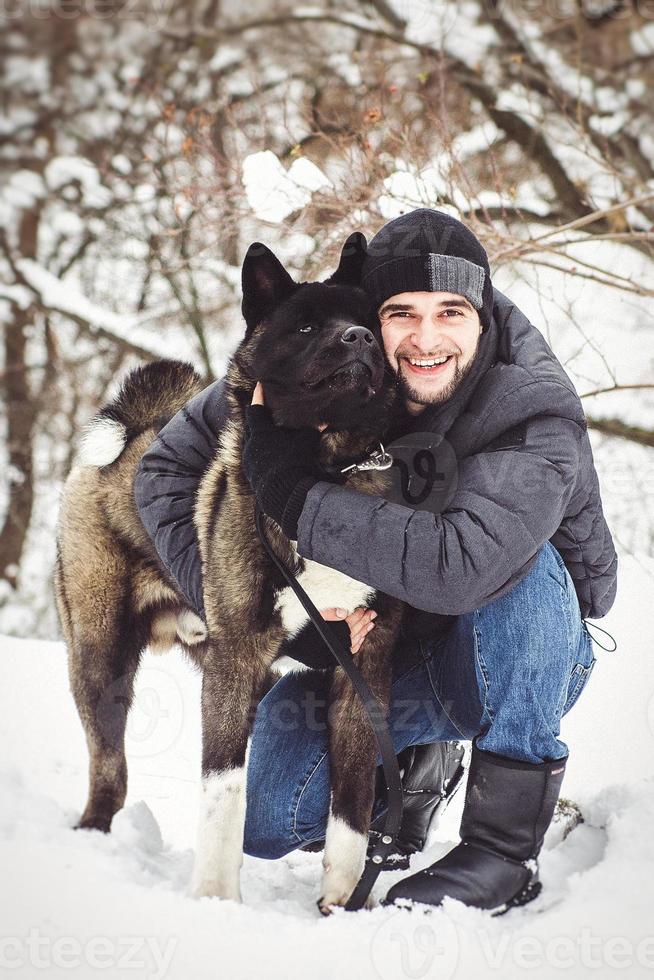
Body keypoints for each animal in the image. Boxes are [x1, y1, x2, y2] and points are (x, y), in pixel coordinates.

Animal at [56, 235, 408, 912]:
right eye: (306, 327)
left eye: (371, 320)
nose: (359, 338)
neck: (326, 474)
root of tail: (134, 433)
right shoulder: (237, 661)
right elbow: (224, 791)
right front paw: (216, 896)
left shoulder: (364, 670)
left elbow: (352, 808)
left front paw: (343, 901)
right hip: (101, 661)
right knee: (109, 773)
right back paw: (92, 837)